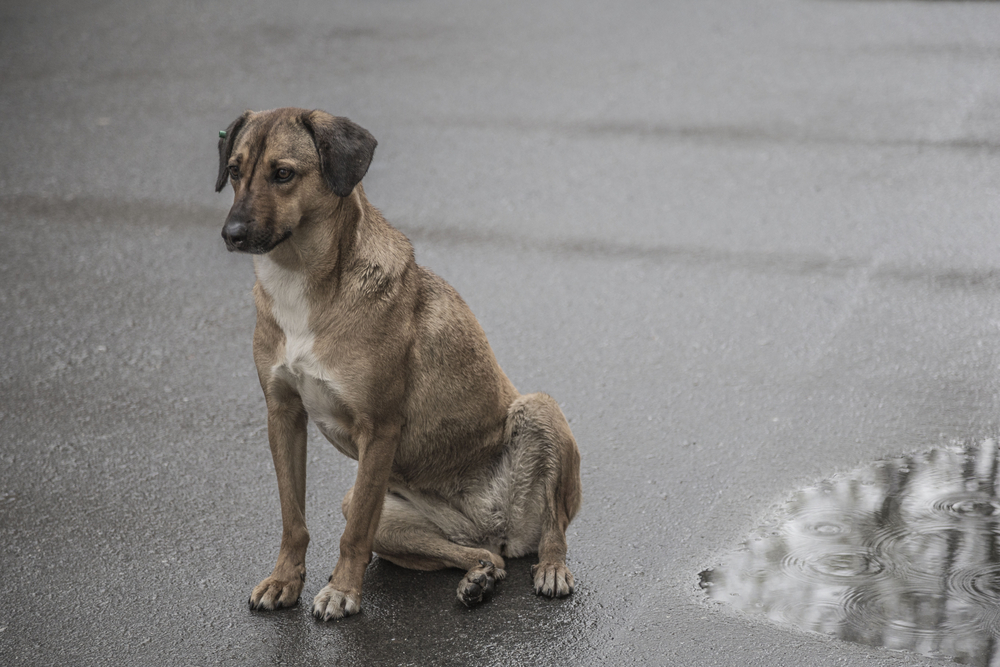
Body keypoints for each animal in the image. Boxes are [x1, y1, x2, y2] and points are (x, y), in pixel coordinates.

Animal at [215, 107, 584, 624]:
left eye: (283, 174)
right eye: (234, 171)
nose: (231, 235)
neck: (301, 280)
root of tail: (494, 525)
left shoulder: (379, 428)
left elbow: (352, 537)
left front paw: (342, 591)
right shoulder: (283, 415)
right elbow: (293, 517)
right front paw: (286, 580)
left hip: (540, 410)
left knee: (554, 530)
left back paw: (550, 569)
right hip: (377, 512)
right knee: (480, 554)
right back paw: (479, 579)